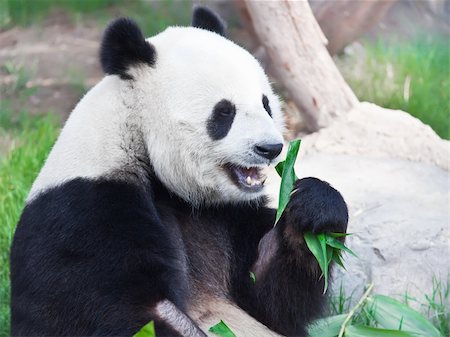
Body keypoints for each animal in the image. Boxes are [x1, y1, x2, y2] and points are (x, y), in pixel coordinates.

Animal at [9, 5, 348, 336]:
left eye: (266, 104)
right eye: (224, 113)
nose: (271, 148)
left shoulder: (227, 214)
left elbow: (271, 300)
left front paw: (312, 206)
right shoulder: (86, 211)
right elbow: (119, 312)